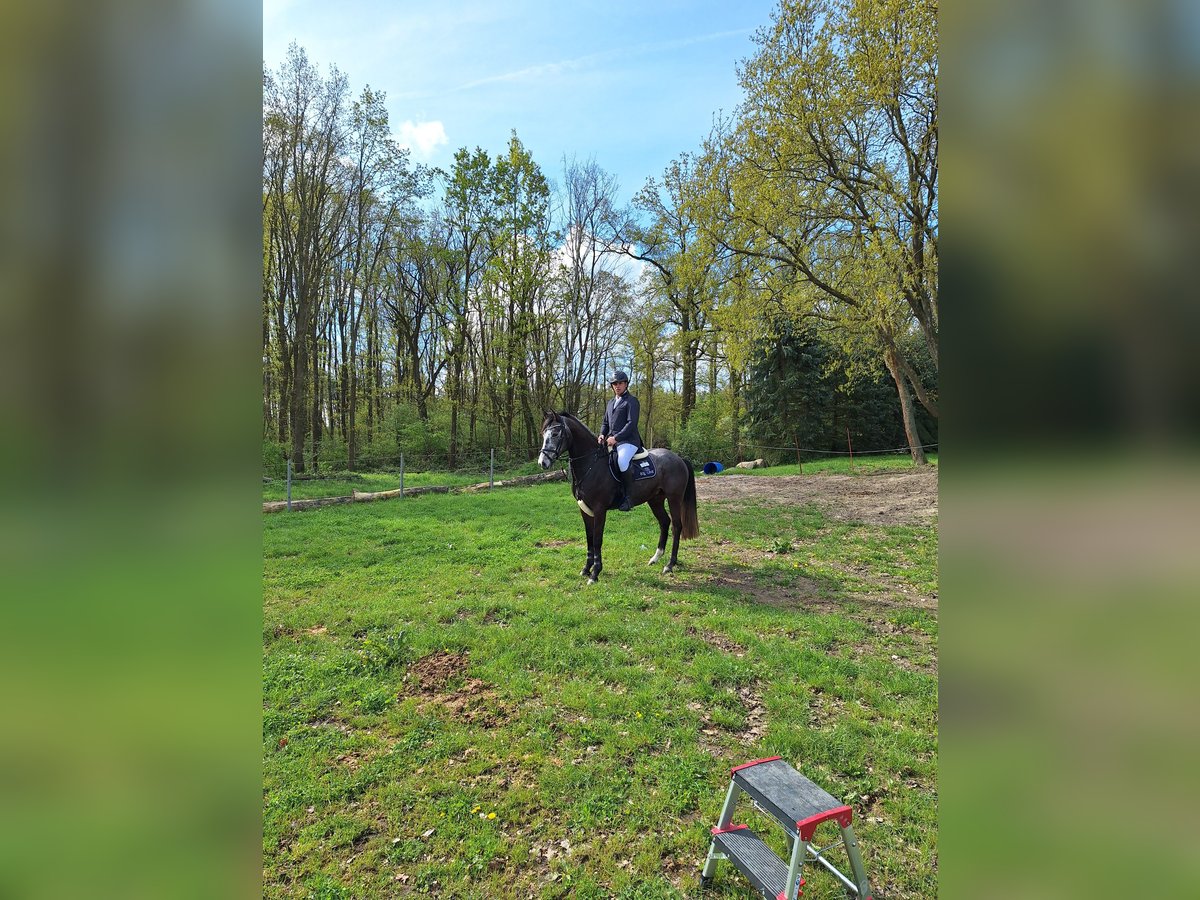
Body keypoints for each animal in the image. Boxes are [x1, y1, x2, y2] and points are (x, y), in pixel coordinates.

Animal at [537, 410, 700, 585]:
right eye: (544, 434)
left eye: (555, 433)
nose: (543, 462)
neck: (591, 465)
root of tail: (678, 458)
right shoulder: (585, 510)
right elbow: (589, 538)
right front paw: (586, 569)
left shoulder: (600, 510)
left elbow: (597, 540)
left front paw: (595, 574)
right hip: (655, 500)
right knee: (664, 522)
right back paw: (655, 558)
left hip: (674, 498)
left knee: (676, 526)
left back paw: (670, 565)